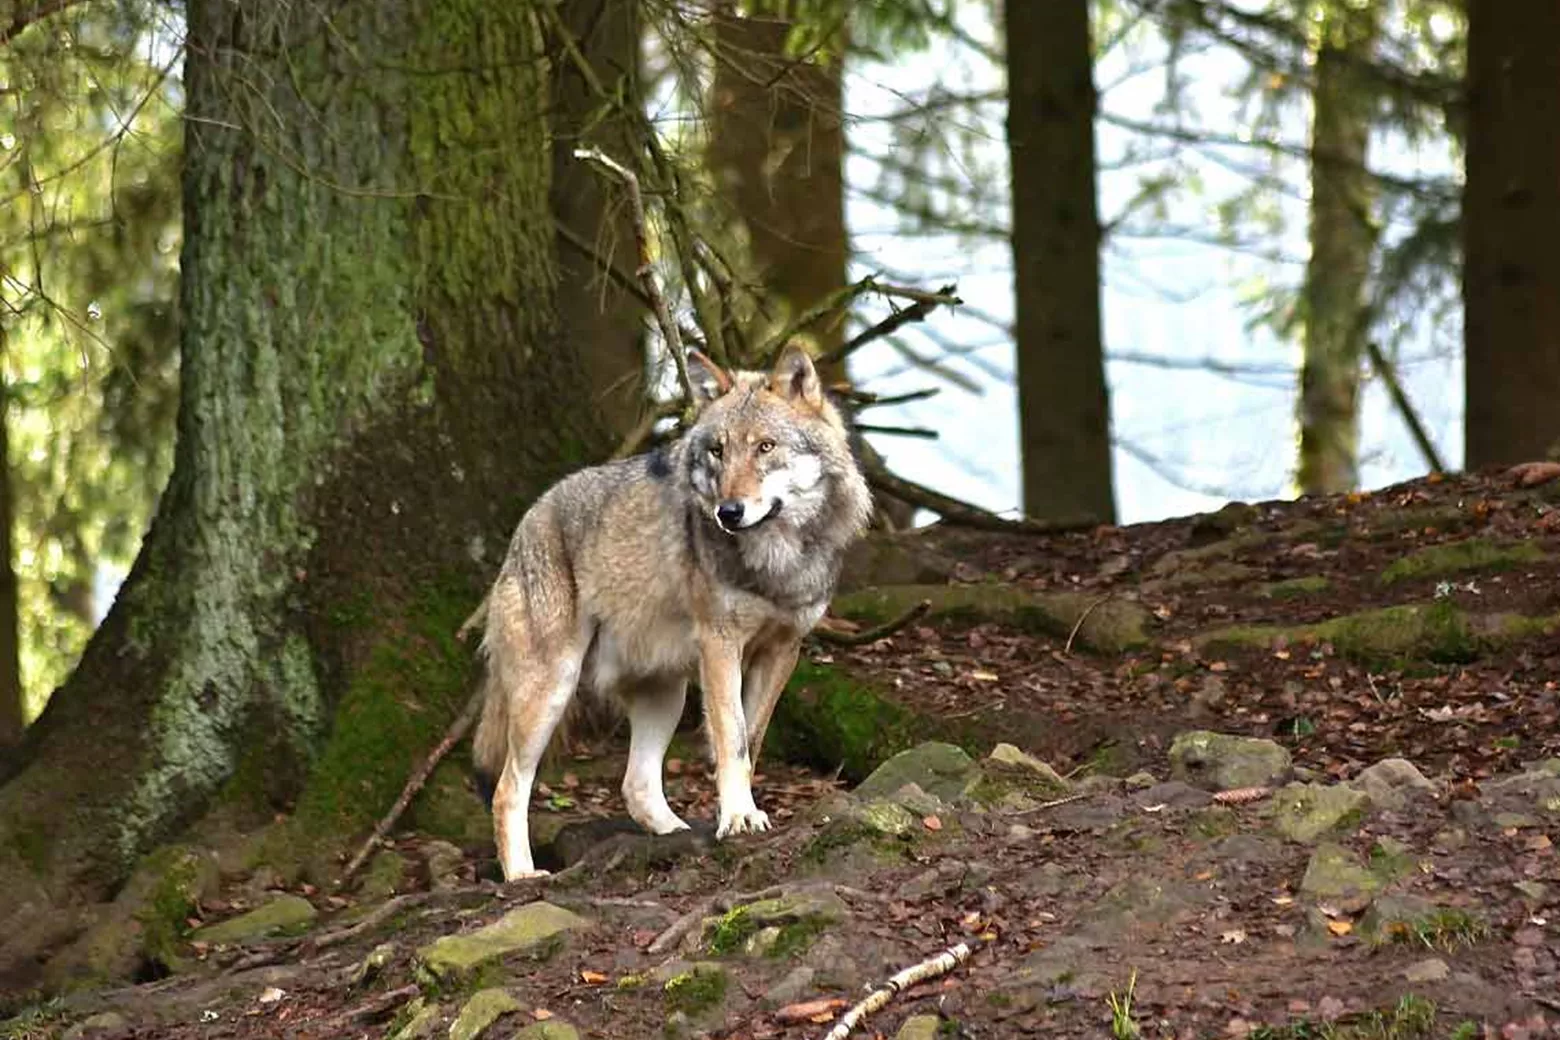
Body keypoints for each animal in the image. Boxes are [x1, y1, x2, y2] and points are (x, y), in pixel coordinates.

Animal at [469, 345, 873, 879]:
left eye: (765, 447)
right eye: (718, 451)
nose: (729, 512)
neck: (776, 561)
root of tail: (528, 519)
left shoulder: (783, 649)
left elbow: (750, 741)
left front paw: (737, 813)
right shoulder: (721, 644)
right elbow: (731, 737)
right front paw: (738, 817)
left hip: (666, 693)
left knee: (636, 786)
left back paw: (677, 834)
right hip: (552, 690)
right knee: (507, 788)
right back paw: (521, 874)